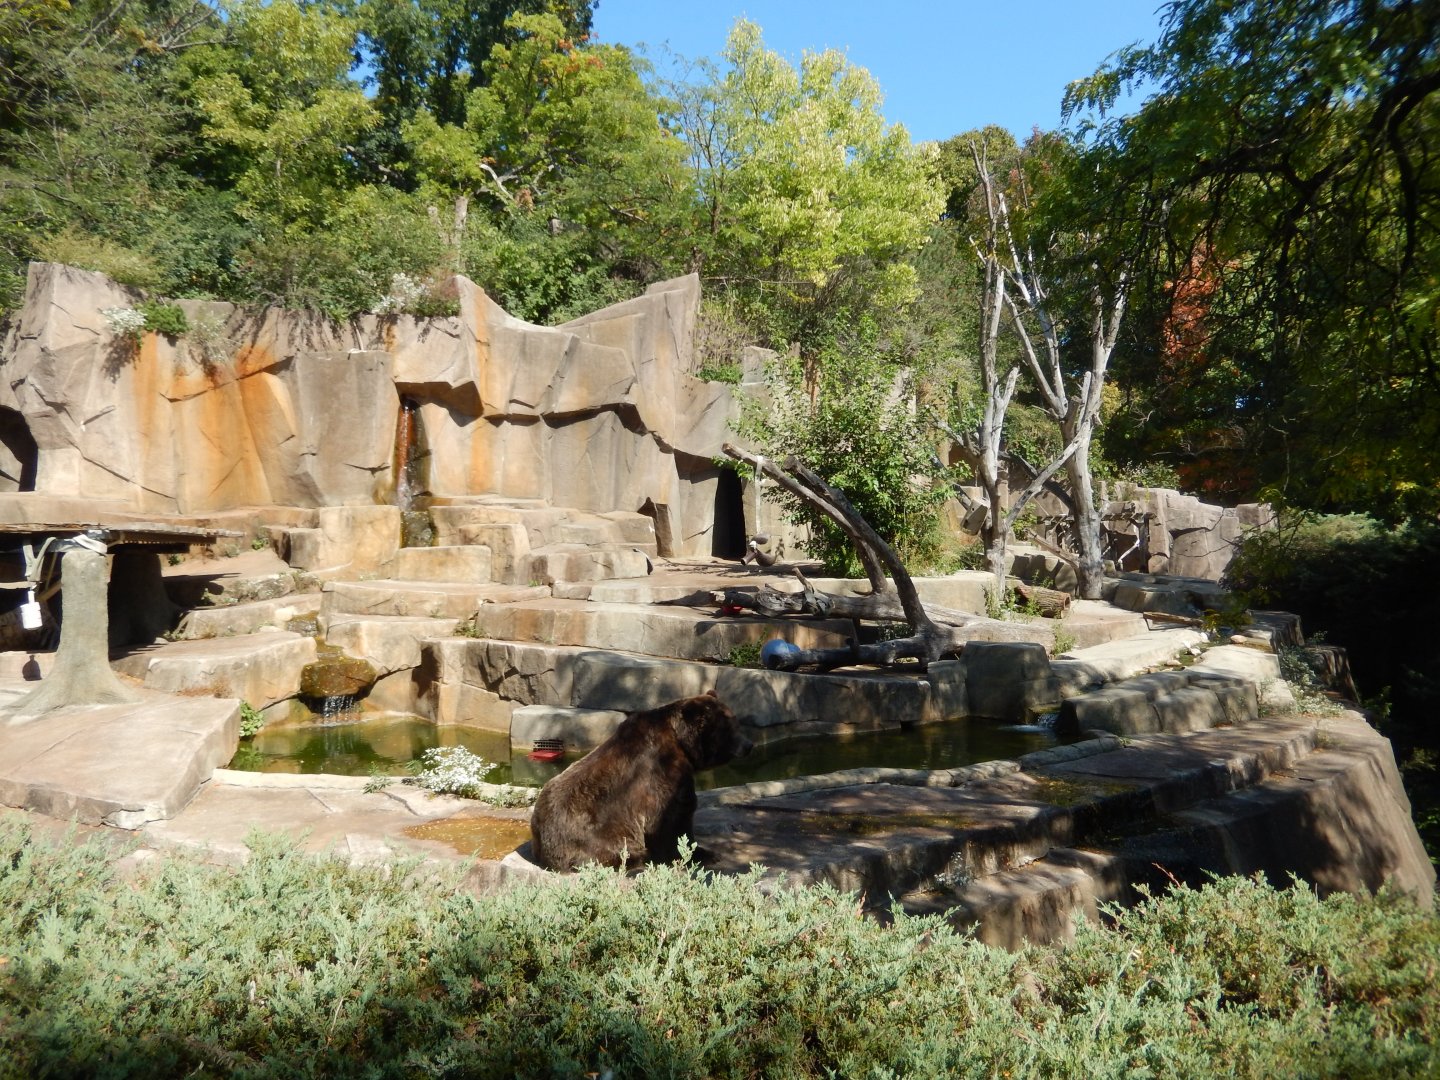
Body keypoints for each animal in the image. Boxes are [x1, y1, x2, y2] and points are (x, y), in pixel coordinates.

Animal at [529, 690, 753, 872]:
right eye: (731, 727)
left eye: (736, 722)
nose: (748, 745)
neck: (681, 743)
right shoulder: (661, 771)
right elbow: (672, 818)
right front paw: (702, 854)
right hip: (597, 835)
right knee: (622, 851)